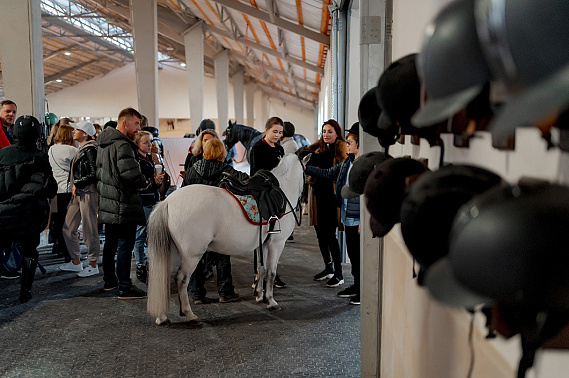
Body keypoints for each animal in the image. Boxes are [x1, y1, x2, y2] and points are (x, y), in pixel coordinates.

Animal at [148, 154, 306, 324]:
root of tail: (167, 202)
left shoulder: (262, 245)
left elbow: (261, 268)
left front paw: (259, 295)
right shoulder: (276, 244)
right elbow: (271, 272)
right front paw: (270, 301)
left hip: (171, 252)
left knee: (162, 277)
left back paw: (162, 317)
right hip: (191, 256)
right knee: (182, 279)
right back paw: (189, 314)